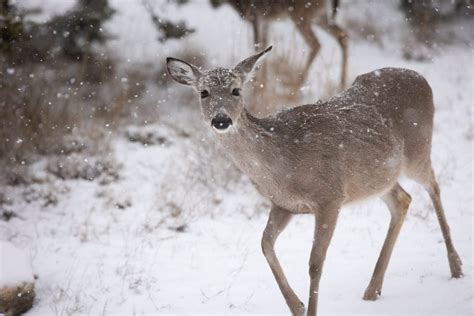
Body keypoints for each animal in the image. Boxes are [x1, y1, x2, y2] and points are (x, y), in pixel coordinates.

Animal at [166, 45, 462, 314]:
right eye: (203, 92)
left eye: (236, 90)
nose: (221, 120)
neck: (282, 165)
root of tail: (420, 77)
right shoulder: (283, 204)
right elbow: (265, 244)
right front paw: (296, 305)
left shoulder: (329, 197)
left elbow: (315, 264)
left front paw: (308, 308)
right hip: (377, 176)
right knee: (402, 199)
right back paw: (372, 289)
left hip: (417, 150)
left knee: (433, 186)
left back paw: (455, 266)